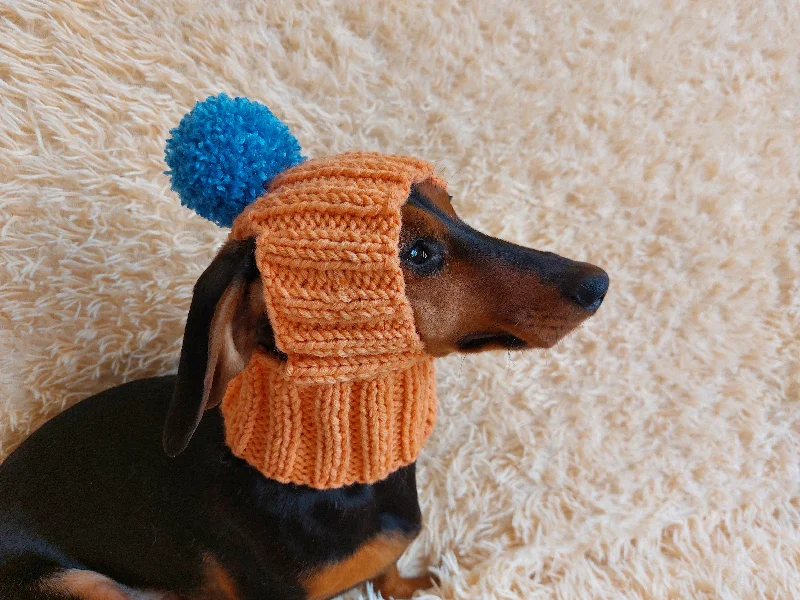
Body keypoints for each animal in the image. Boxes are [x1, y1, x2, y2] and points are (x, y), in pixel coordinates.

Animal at [0, 183, 608, 600]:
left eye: (452, 207)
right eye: (416, 253)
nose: (597, 282)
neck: (342, 470)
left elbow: (392, 576)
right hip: (80, 584)